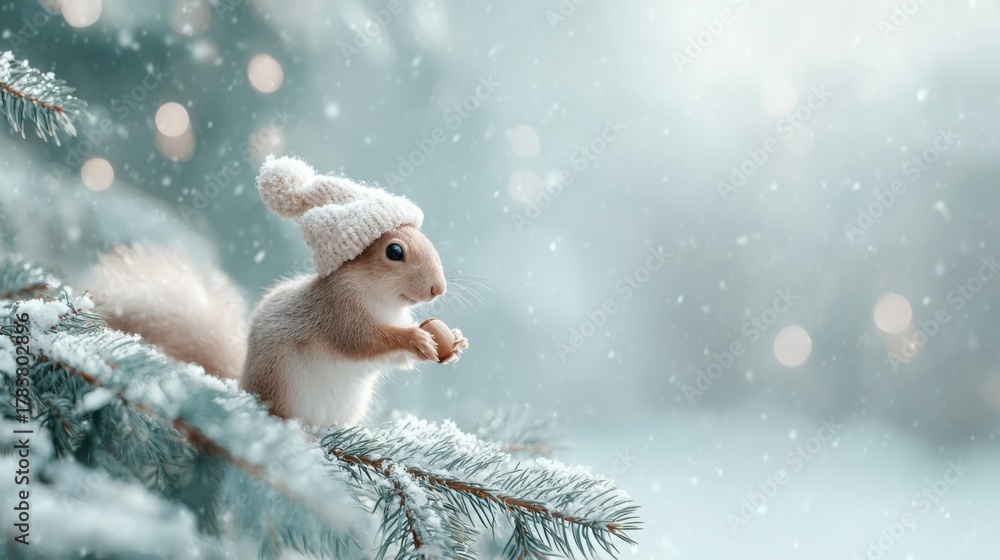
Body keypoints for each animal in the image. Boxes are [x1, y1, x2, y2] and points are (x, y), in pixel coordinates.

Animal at [89, 155, 468, 428]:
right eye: (394, 251)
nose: (438, 288)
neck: (384, 303)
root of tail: (244, 387)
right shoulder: (337, 311)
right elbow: (362, 341)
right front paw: (413, 338)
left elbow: (394, 359)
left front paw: (455, 342)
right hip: (284, 390)